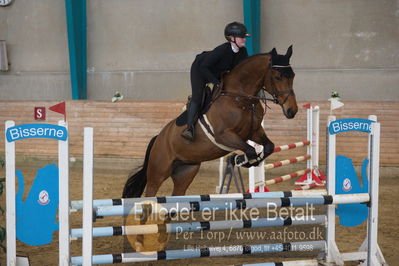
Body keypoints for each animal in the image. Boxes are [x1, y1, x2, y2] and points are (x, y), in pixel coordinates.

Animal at [123, 45, 298, 198]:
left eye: (293, 76)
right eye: (277, 77)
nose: (292, 110)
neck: (240, 98)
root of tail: (158, 138)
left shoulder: (253, 132)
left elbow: (268, 147)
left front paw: (244, 160)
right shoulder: (225, 136)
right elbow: (249, 150)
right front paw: (241, 160)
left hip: (185, 171)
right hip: (158, 172)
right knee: (150, 194)